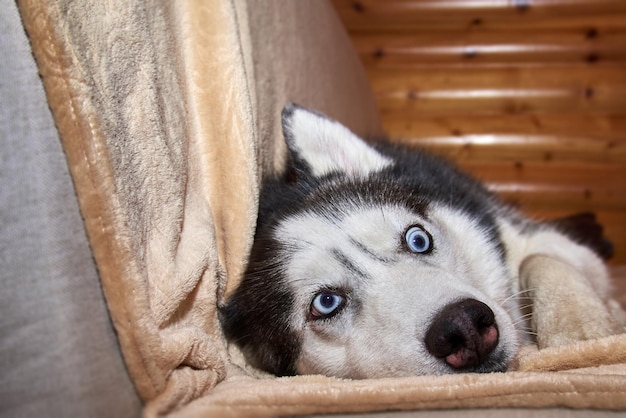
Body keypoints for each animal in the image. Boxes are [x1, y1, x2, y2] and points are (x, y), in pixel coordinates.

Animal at [221, 103, 616, 378]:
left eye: (418, 239)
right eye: (326, 303)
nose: (463, 327)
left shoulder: (539, 242)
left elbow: (539, 261)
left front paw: (580, 329)